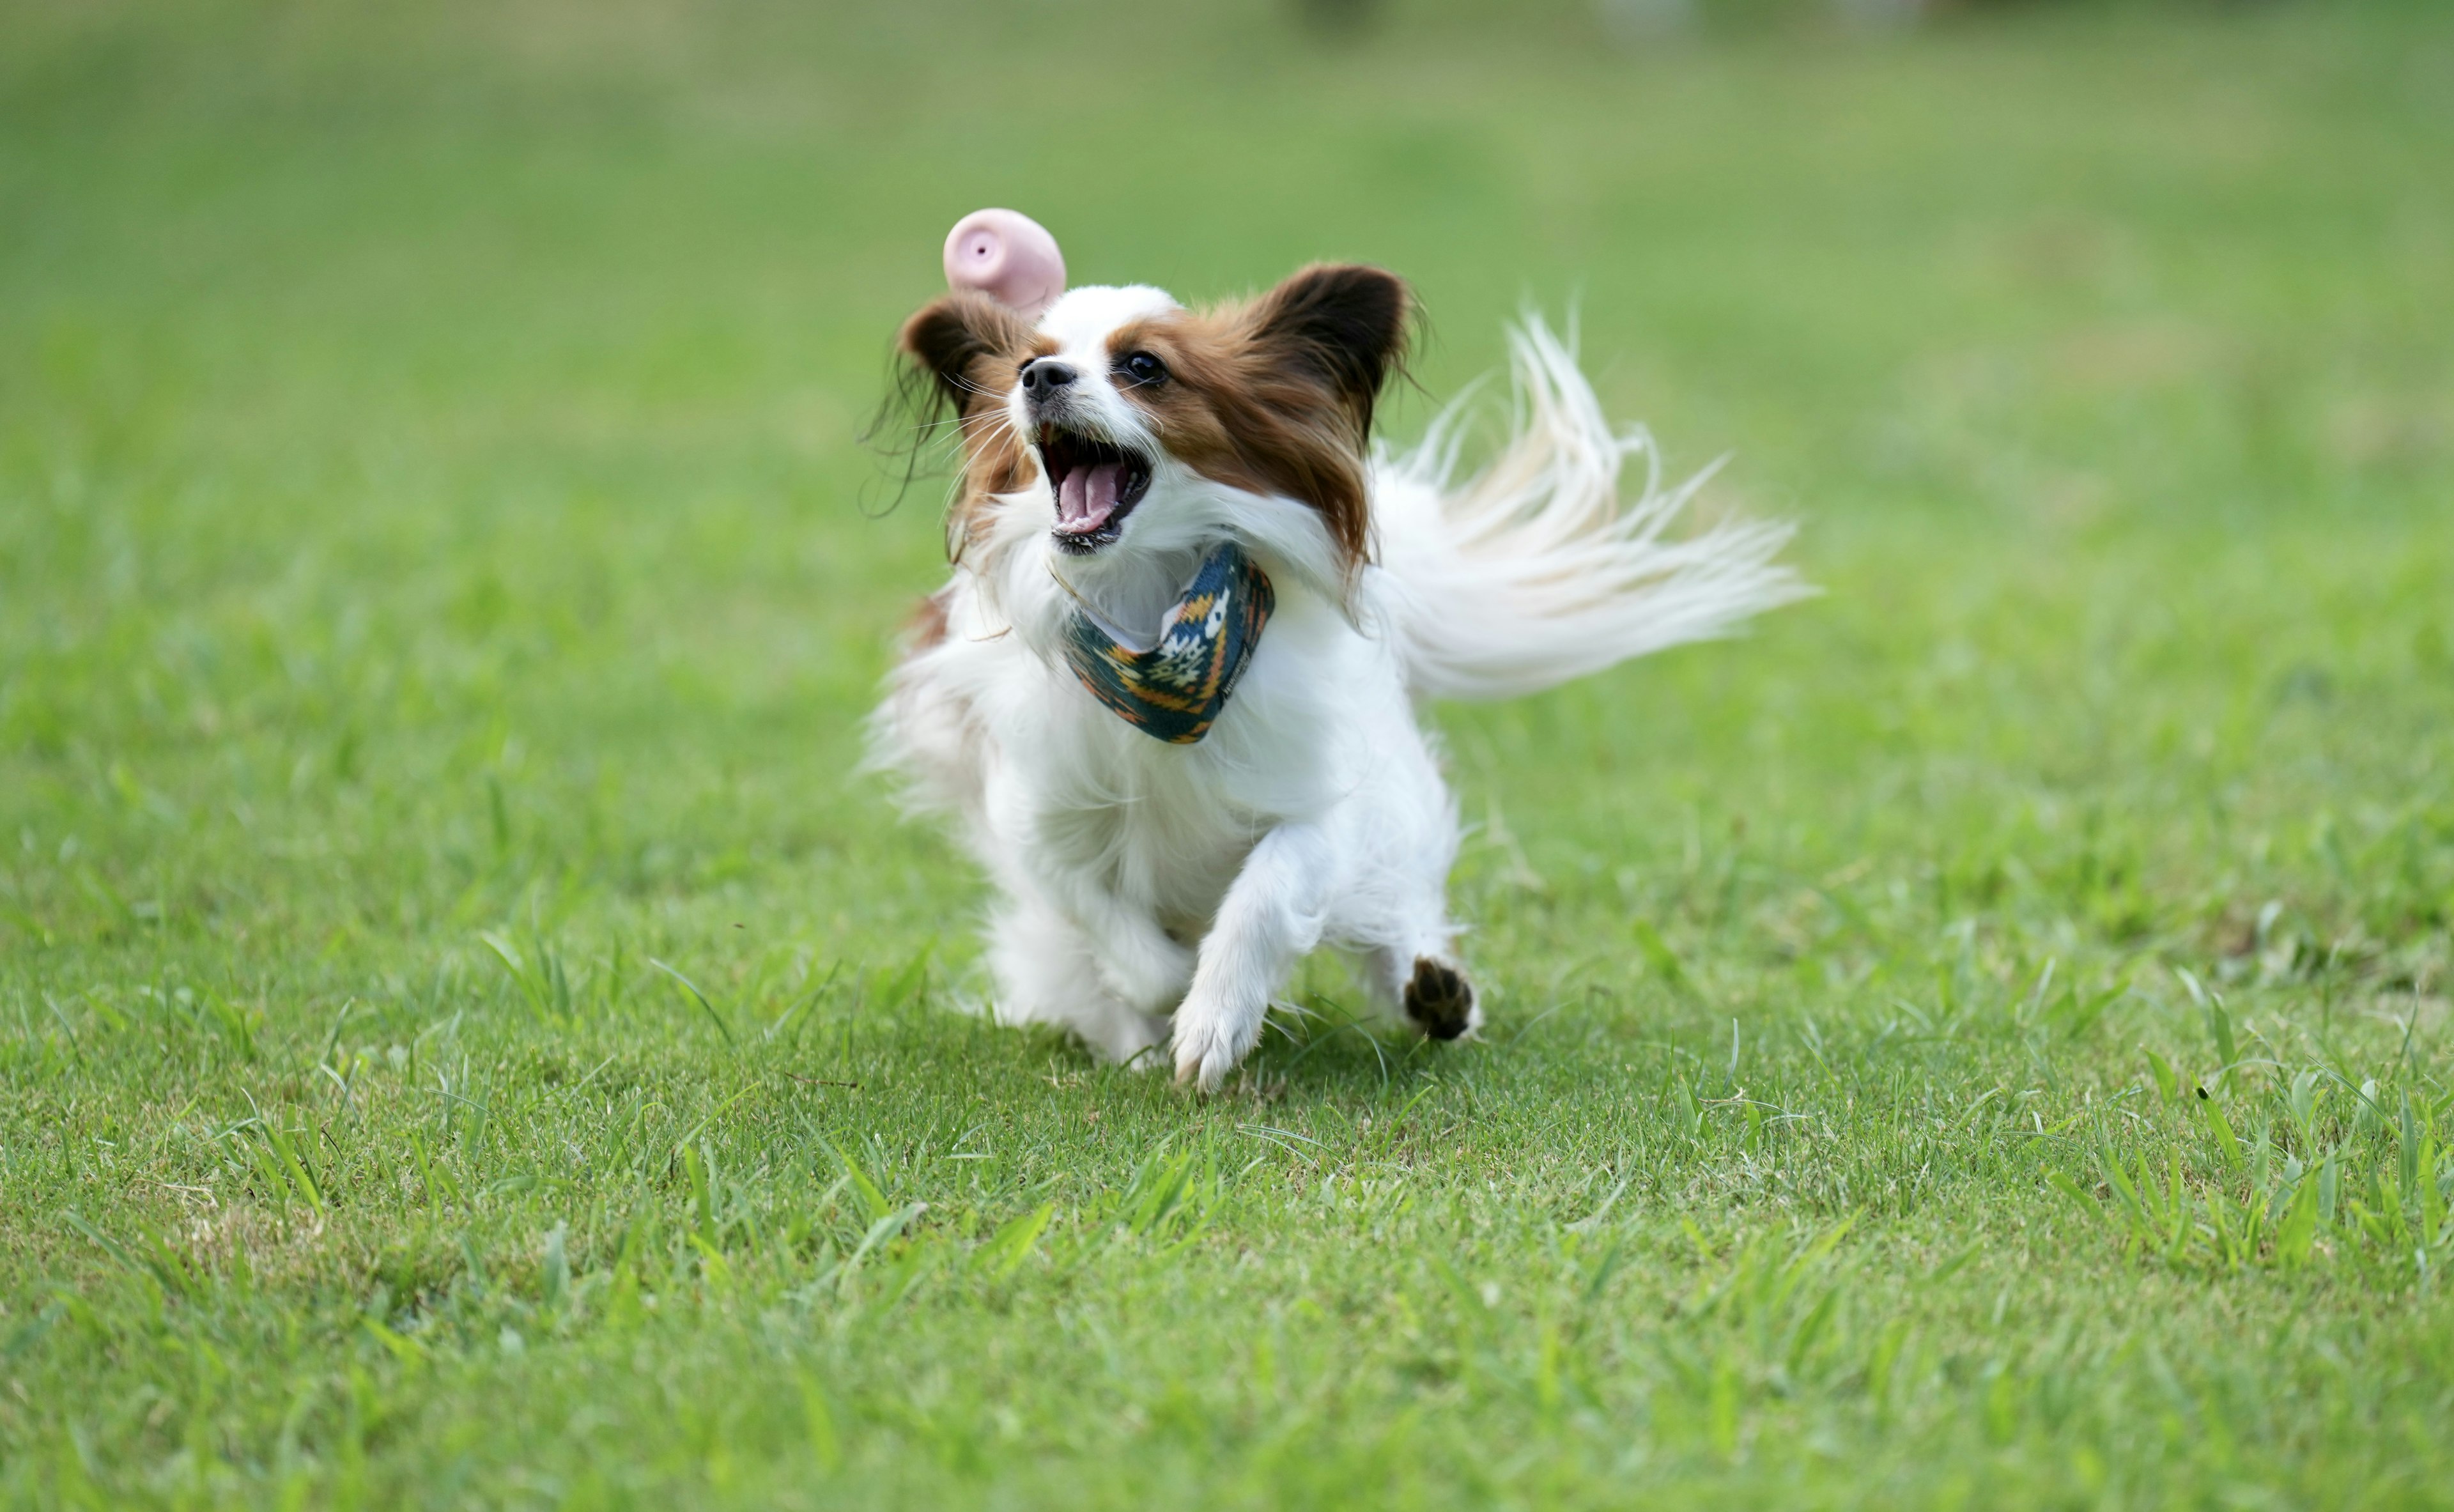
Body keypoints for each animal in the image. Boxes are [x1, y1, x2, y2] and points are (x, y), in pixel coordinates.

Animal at [874, 233, 1796, 1084]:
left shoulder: (1320, 798)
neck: (1153, 623)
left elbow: (1267, 894)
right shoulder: (1038, 819)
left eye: (1143, 366)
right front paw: (1174, 992)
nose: (1039, 380)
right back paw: (1135, 1043)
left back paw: (1433, 992)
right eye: (1028, 362)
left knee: (1396, 918)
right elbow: (1116, 930)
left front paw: (1217, 1013)